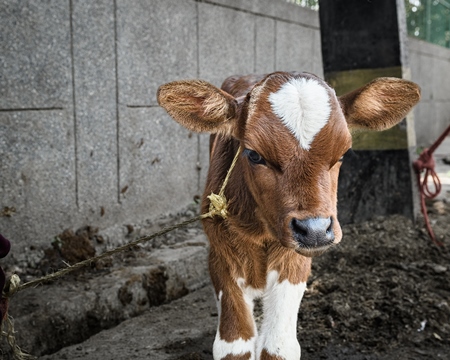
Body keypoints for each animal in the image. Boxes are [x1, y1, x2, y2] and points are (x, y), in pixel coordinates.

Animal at [156, 71, 420, 358]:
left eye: (342, 154)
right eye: (253, 154)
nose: (315, 229)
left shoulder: (296, 263)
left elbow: (278, 345)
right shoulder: (220, 255)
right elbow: (234, 345)